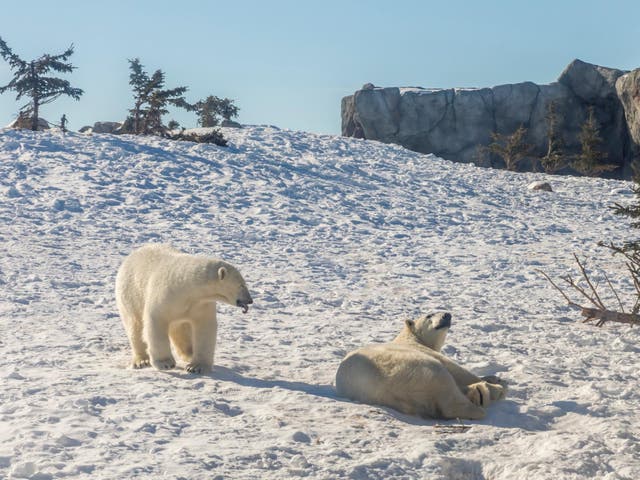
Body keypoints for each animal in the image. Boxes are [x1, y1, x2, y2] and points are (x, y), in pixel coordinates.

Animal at [116, 244, 251, 376]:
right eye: (241, 285)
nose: (250, 300)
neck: (186, 286)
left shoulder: (200, 304)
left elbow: (205, 326)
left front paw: (196, 367)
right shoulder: (165, 296)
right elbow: (156, 321)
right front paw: (165, 363)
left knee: (179, 329)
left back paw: (189, 353)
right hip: (130, 294)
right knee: (135, 326)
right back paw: (142, 360)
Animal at [338, 312, 508, 420]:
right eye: (429, 315)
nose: (447, 315)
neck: (409, 337)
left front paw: (493, 378)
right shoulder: (420, 350)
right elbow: (456, 369)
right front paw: (497, 382)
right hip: (414, 368)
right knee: (446, 387)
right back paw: (486, 396)